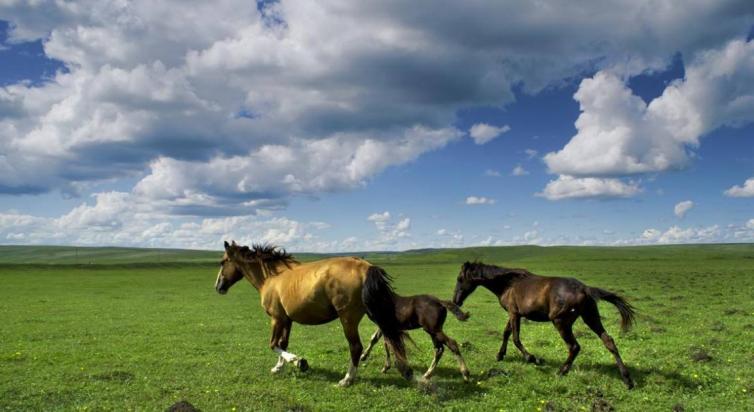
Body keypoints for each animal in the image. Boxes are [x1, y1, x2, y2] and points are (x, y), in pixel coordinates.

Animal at [212, 241, 414, 386]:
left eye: (223, 262)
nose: (218, 287)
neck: (272, 277)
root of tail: (366, 266)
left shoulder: (276, 318)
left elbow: (273, 344)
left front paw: (298, 362)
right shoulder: (287, 320)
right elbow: (283, 344)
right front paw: (279, 367)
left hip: (348, 319)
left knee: (356, 347)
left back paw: (347, 379)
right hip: (375, 313)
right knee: (387, 337)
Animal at [452, 262, 636, 388]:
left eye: (460, 279)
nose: (456, 301)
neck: (508, 284)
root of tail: (585, 289)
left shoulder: (514, 313)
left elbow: (515, 338)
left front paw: (532, 358)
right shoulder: (514, 313)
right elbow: (506, 333)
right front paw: (500, 355)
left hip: (560, 322)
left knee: (574, 346)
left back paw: (561, 371)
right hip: (591, 317)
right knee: (609, 341)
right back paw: (627, 380)